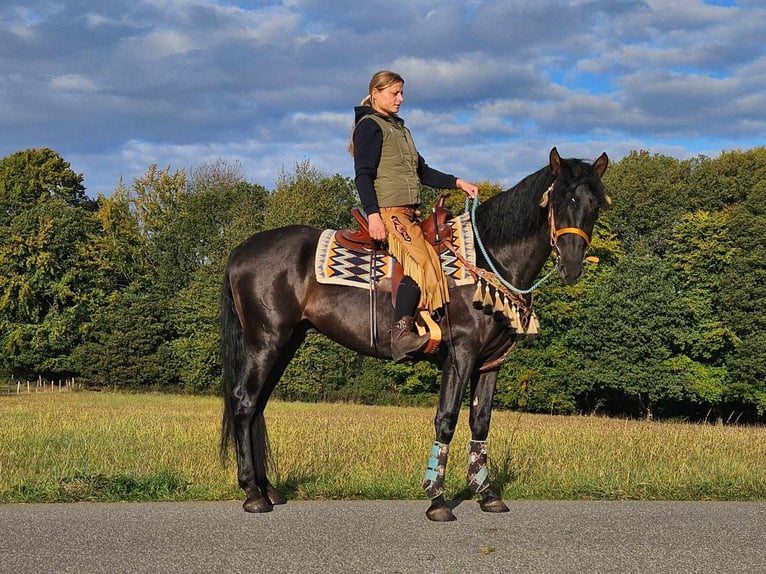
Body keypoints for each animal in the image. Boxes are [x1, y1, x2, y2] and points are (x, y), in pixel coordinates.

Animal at [222, 147, 612, 520]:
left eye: (594, 205)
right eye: (559, 199)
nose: (572, 266)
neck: (488, 260)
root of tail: (241, 250)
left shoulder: (490, 363)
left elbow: (480, 422)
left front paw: (486, 494)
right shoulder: (461, 355)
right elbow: (446, 419)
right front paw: (437, 498)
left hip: (287, 343)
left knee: (258, 407)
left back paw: (268, 489)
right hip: (265, 342)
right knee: (244, 403)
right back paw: (253, 493)